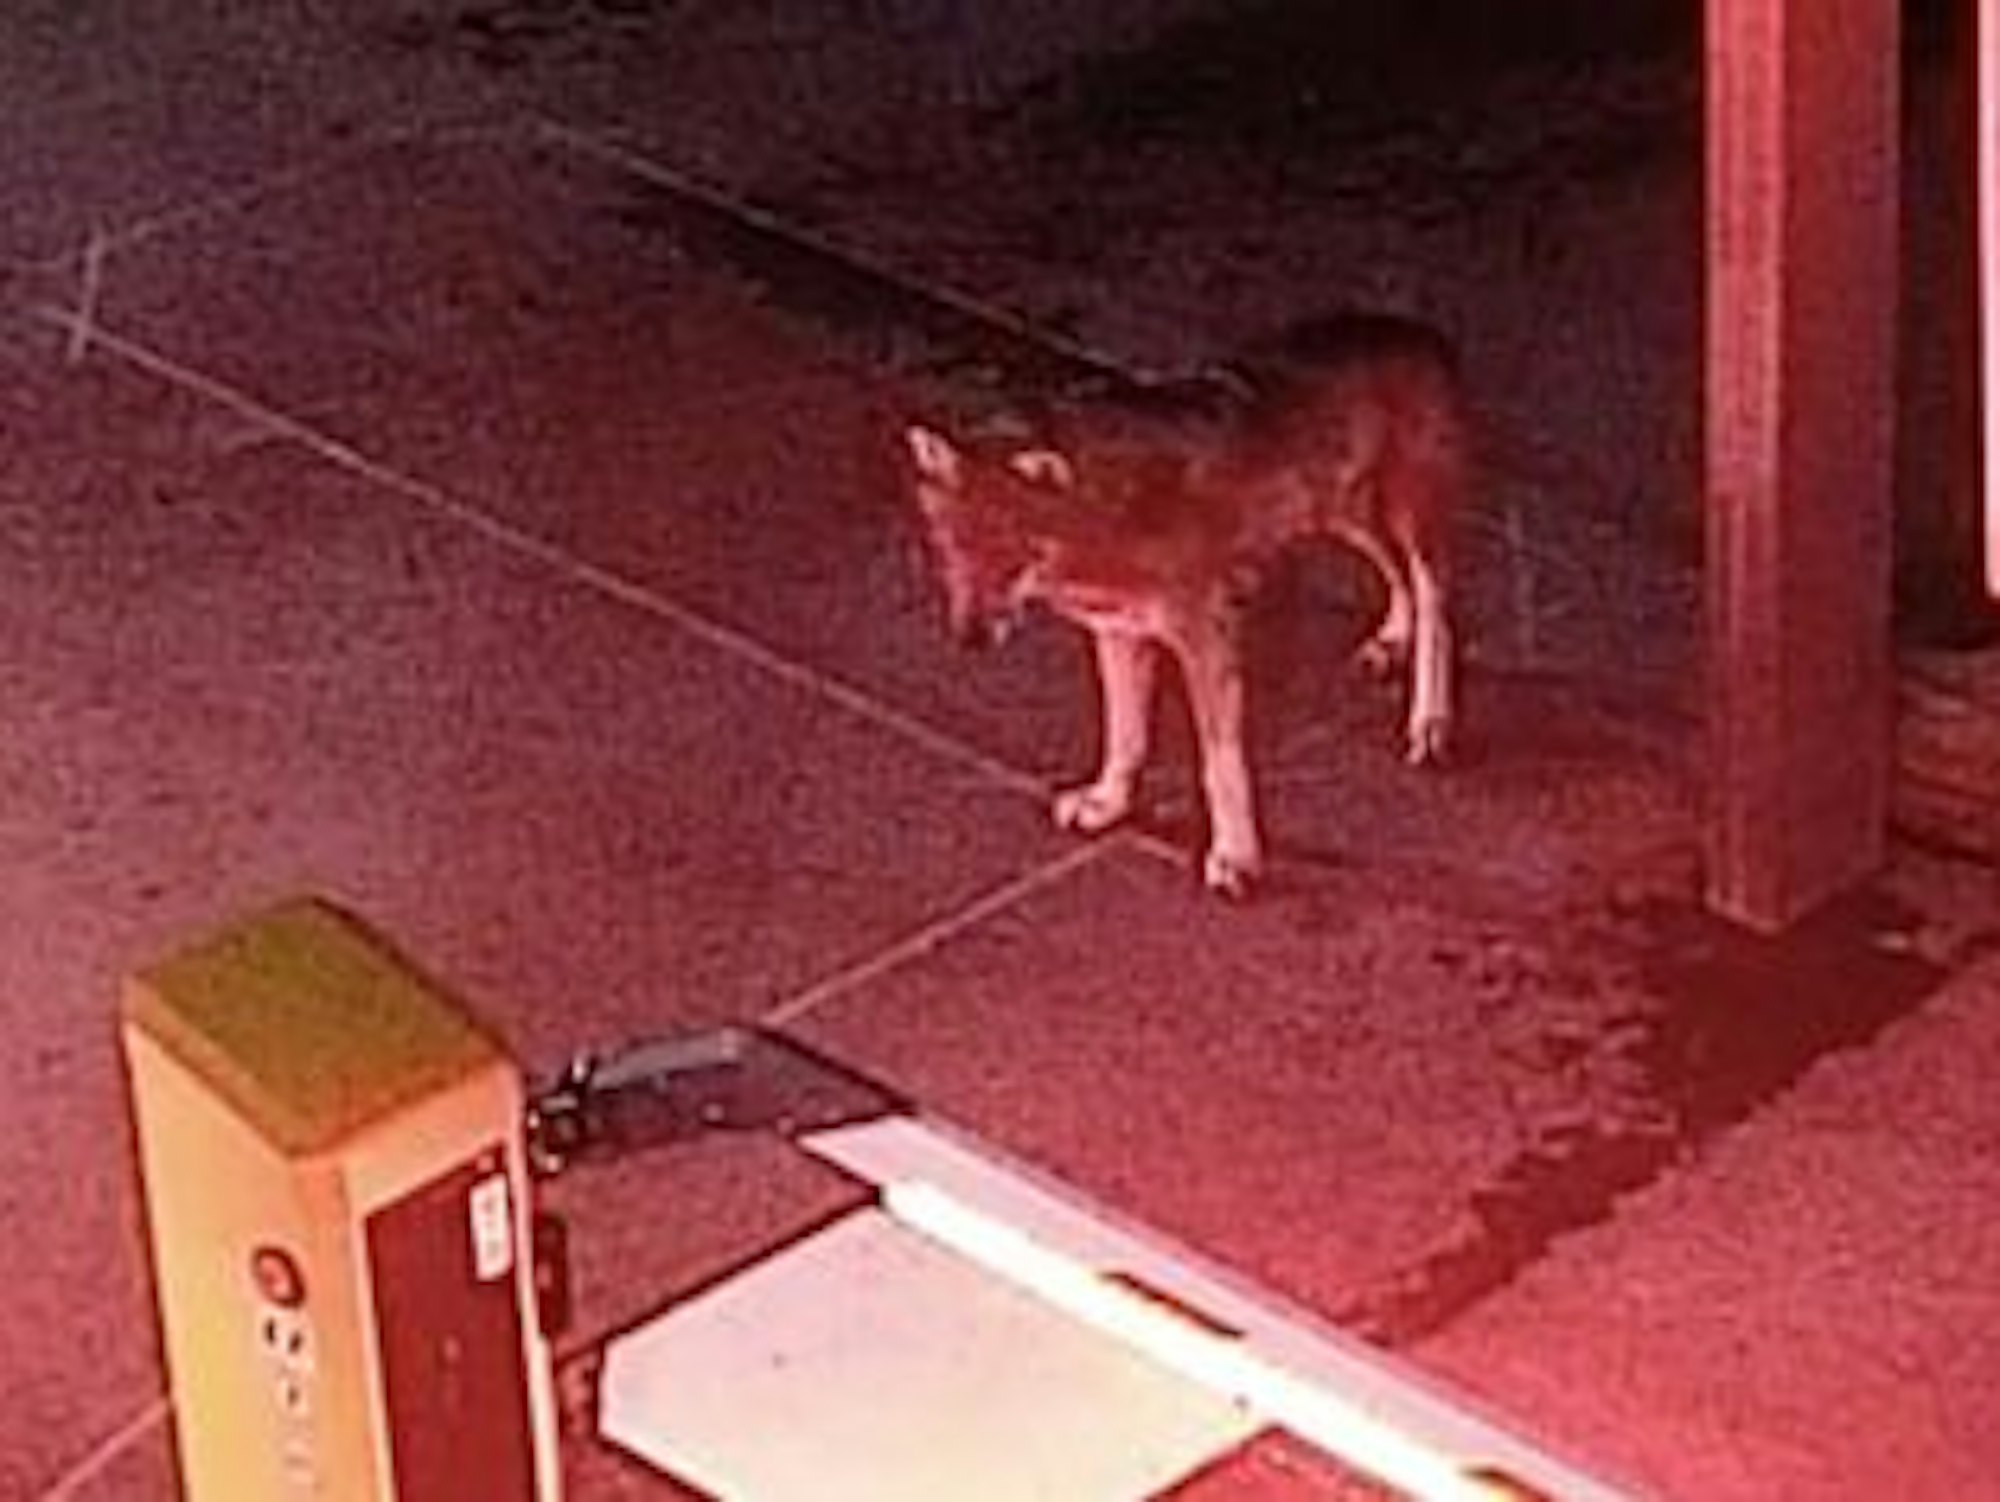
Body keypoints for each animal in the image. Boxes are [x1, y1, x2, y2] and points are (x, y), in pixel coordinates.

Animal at [903, 313, 1466, 897]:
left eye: (1011, 552)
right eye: (950, 548)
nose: (969, 639)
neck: (1101, 513)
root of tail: (1418, 329)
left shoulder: (1205, 638)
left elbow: (1220, 767)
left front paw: (1235, 858)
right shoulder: (1119, 632)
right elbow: (1124, 739)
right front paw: (1106, 804)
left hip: (1405, 517)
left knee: (1437, 603)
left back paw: (1430, 723)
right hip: (1342, 513)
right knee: (1398, 574)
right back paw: (1391, 642)